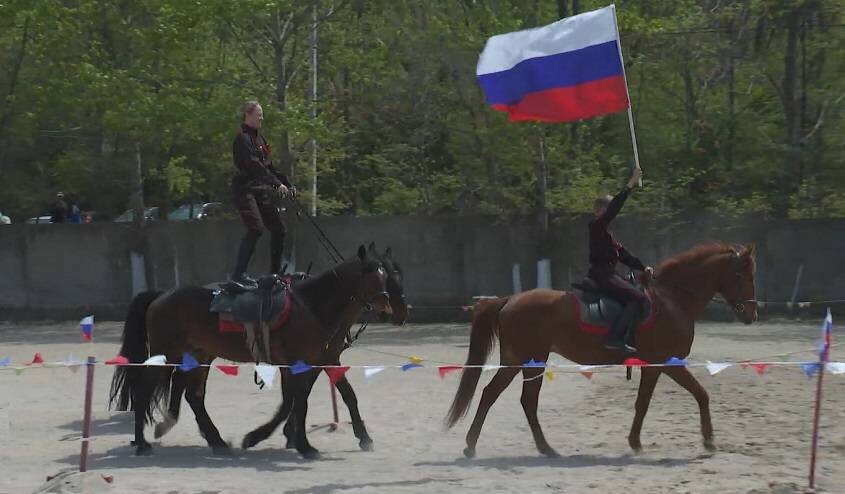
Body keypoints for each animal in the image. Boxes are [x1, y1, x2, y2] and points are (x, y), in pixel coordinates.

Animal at [108, 245, 392, 458]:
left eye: (386, 274)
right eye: (371, 274)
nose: (388, 306)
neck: (310, 306)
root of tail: (160, 296)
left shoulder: (322, 360)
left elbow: (338, 395)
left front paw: (362, 438)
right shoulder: (300, 362)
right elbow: (299, 402)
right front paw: (302, 445)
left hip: (199, 355)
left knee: (194, 396)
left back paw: (217, 441)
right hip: (166, 354)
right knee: (144, 391)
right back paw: (142, 443)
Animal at [446, 244, 756, 460]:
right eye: (740, 274)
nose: (751, 314)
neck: (672, 300)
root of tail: (510, 300)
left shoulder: (654, 366)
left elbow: (645, 403)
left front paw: (636, 443)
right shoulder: (665, 363)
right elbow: (698, 394)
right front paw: (708, 441)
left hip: (521, 361)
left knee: (503, 397)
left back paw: (504, 447)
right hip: (527, 360)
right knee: (515, 399)